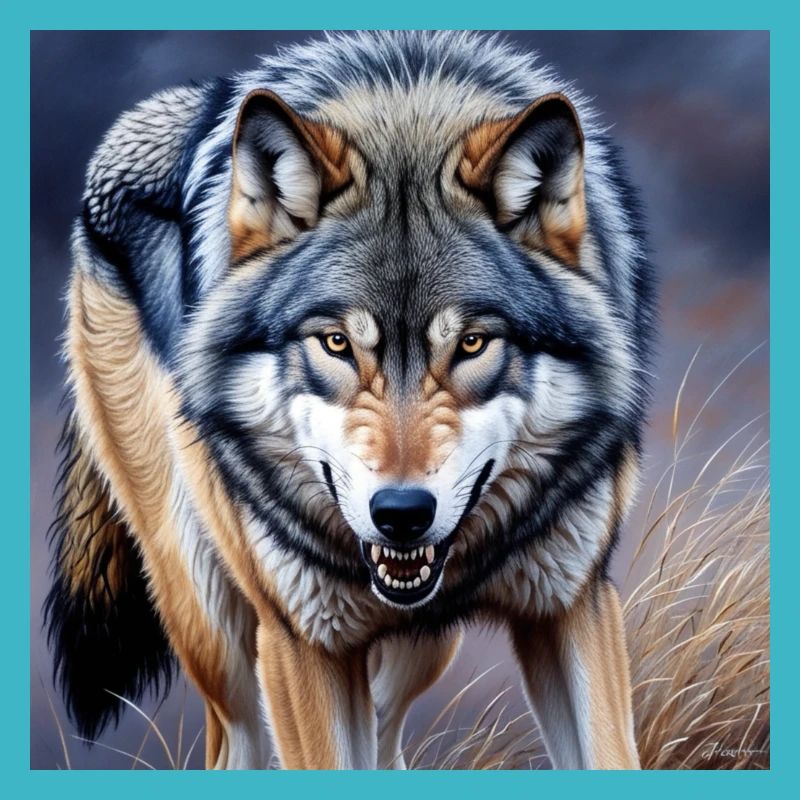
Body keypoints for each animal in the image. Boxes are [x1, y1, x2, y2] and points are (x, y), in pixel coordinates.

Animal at [45, 31, 654, 770]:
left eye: (473, 343)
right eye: (336, 343)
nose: (402, 514)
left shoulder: (571, 605)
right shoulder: (304, 641)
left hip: (422, 646)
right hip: (216, 629)